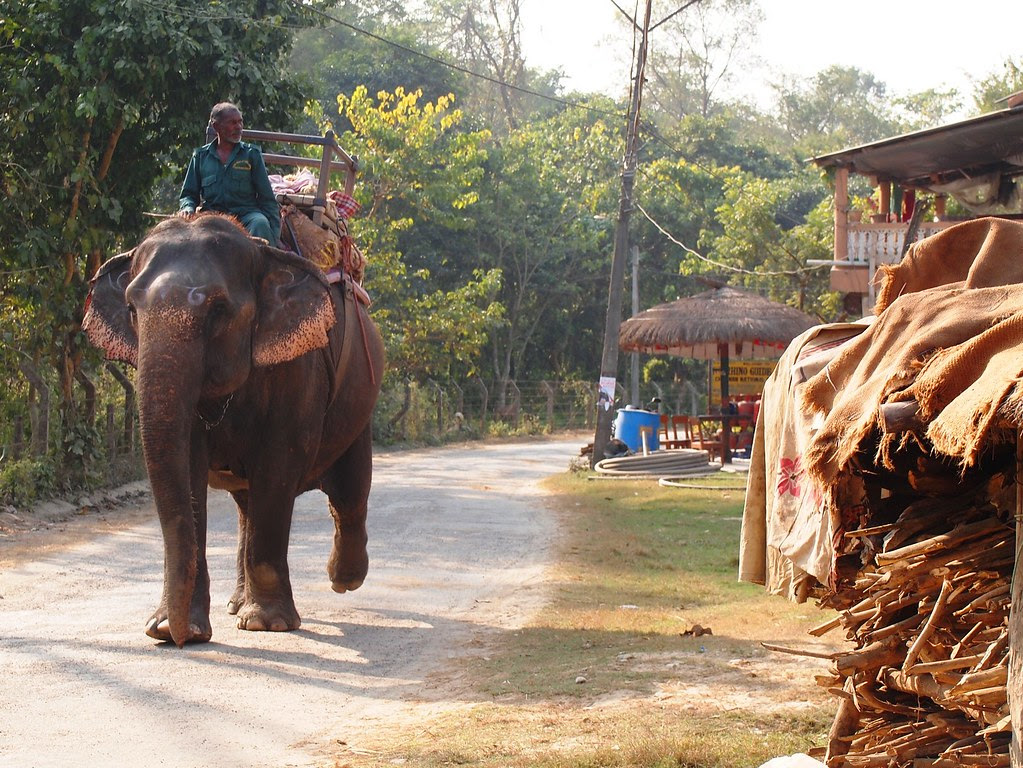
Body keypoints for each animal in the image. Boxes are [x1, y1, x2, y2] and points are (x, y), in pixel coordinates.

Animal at [83, 213, 384, 646]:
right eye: (131, 308)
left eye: (219, 309)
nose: (176, 637)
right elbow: (189, 470)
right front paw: (175, 628)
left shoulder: (299, 366)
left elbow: (278, 466)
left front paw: (265, 624)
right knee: (247, 507)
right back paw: (237, 603)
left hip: (360, 401)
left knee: (349, 491)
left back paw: (343, 580)